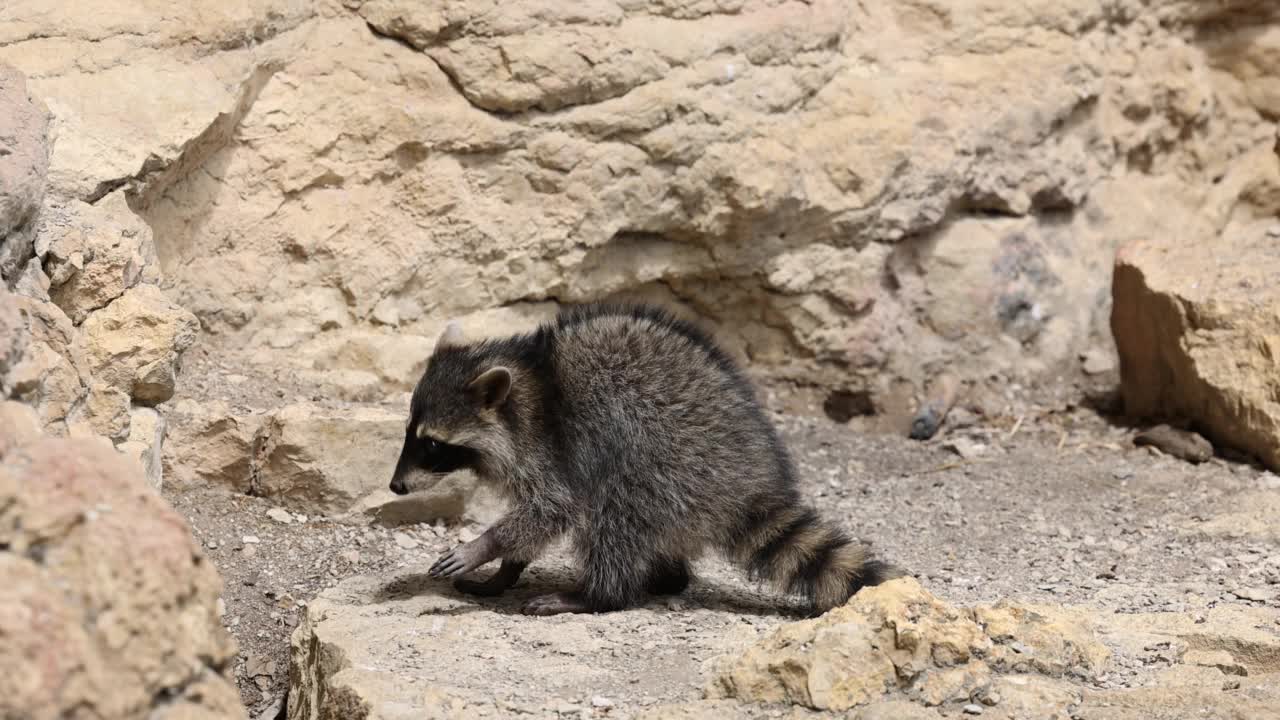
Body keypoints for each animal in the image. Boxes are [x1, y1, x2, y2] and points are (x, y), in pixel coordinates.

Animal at [389, 301, 901, 609]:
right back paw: (663, 577)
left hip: (667, 465)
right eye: (410, 432)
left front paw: (486, 546)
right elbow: (536, 521)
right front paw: (506, 570)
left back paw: (598, 595)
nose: (396, 486)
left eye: (432, 444)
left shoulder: (552, 448)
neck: (528, 382)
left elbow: (554, 510)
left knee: (615, 515)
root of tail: (751, 482)